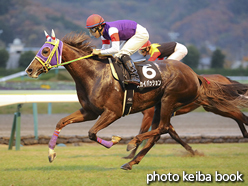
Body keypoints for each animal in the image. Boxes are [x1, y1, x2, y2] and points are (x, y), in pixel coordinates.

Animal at [25, 31, 248, 171]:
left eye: (45, 51)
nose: (29, 70)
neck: (94, 74)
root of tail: (196, 75)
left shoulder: (113, 112)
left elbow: (92, 133)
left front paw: (116, 141)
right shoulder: (90, 111)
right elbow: (61, 122)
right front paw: (51, 154)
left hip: (171, 98)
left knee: (163, 128)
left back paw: (132, 144)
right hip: (166, 105)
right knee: (162, 131)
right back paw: (131, 162)